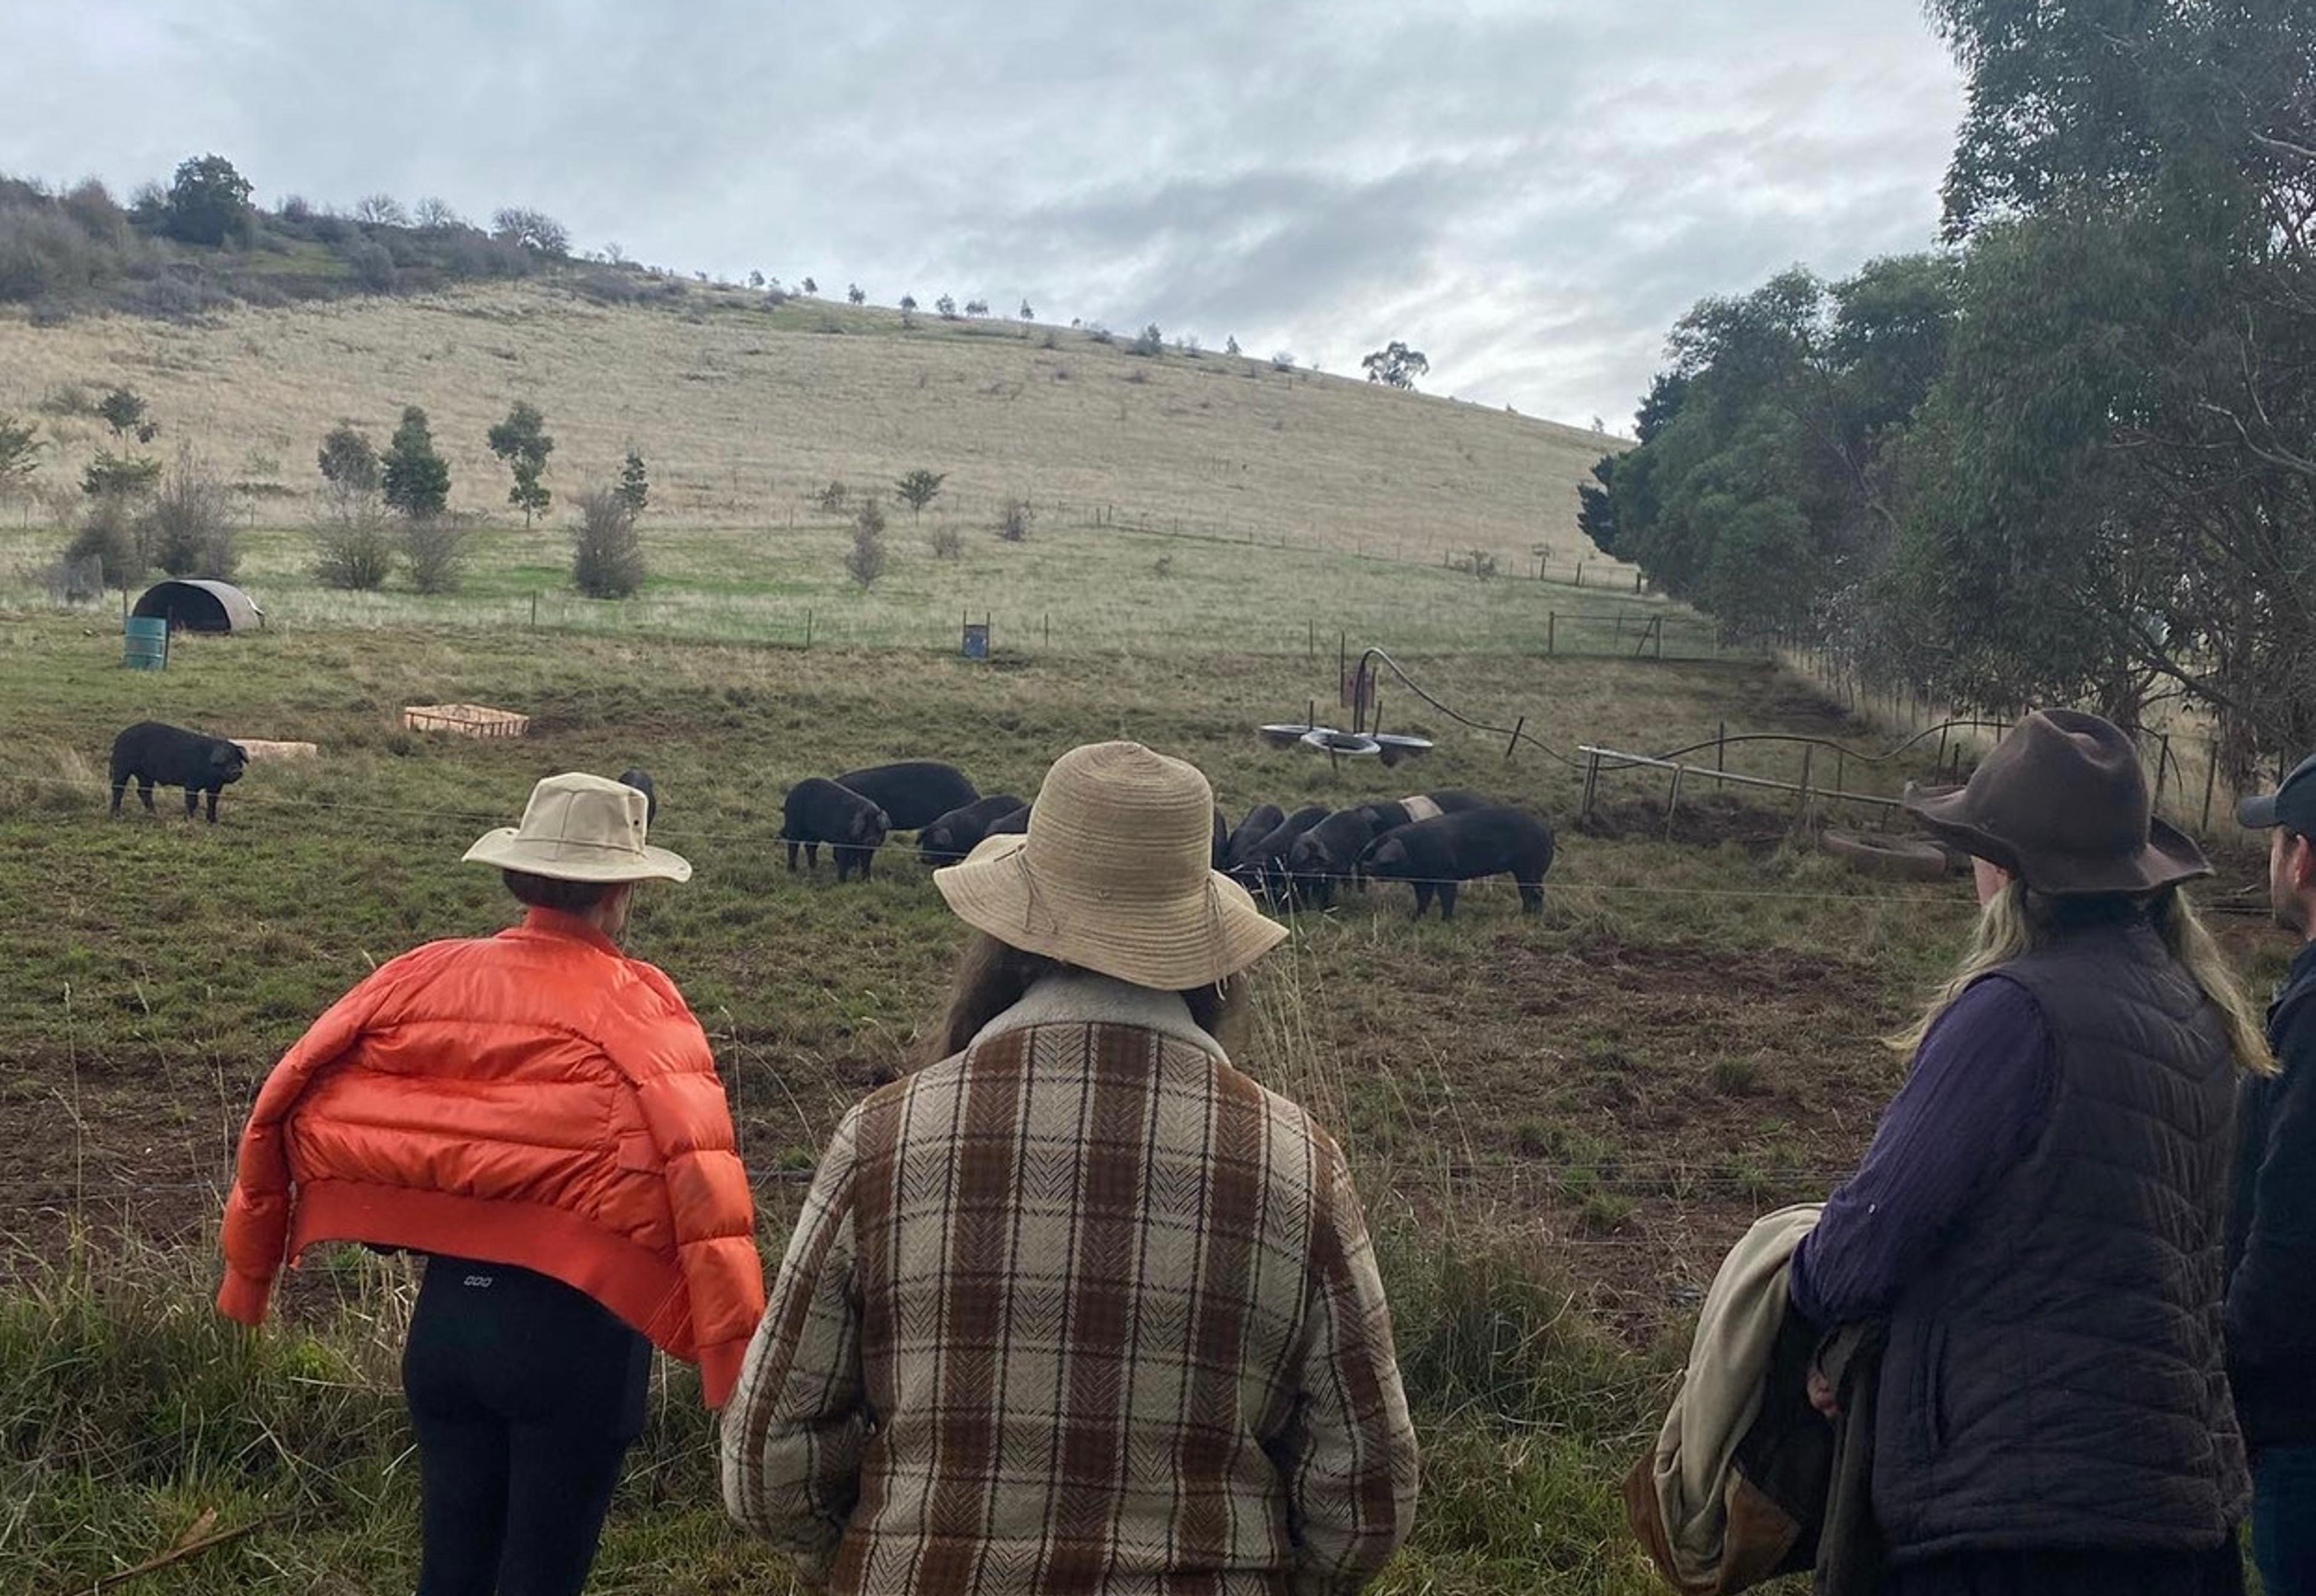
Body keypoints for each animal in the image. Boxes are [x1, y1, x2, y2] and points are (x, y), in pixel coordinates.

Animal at [109, 722, 248, 819]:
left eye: (238, 759)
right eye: (226, 759)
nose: (237, 770)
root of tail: (120, 737)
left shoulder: (216, 787)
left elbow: (212, 802)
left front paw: (213, 822)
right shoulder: (191, 783)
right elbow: (192, 802)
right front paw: (190, 820)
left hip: (146, 775)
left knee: (144, 791)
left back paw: (154, 814)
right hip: (122, 767)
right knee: (118, 788)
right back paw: (116, 815)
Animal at [778, 774, 884, 875]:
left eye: (878, 826)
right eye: (864, 826)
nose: (872, 840)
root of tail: (791, 793)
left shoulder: (868, 850)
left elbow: (866, 863)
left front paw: (867, 879)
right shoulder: (842, 843)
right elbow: (843, 862)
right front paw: (842, 880)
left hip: (814, 835)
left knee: (810, 847)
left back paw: (815, 869)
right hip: (793, 825)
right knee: (793, 847)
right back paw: (792, 872)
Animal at [1352, 810, 1556, 922]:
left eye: (1385, 859)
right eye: (1374, 852)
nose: (1367, 865)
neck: (1414, 850)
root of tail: (1547, 830)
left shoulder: (1447, 874)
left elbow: (1447, 897)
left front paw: (1446, 921)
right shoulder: (1422, 881)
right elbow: (1423, 899)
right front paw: (1414, 918)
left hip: (1531, 867)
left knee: (1537, 892)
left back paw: (1533, 916)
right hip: (1522, 871)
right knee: (1526, 893)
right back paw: (1524, 914)